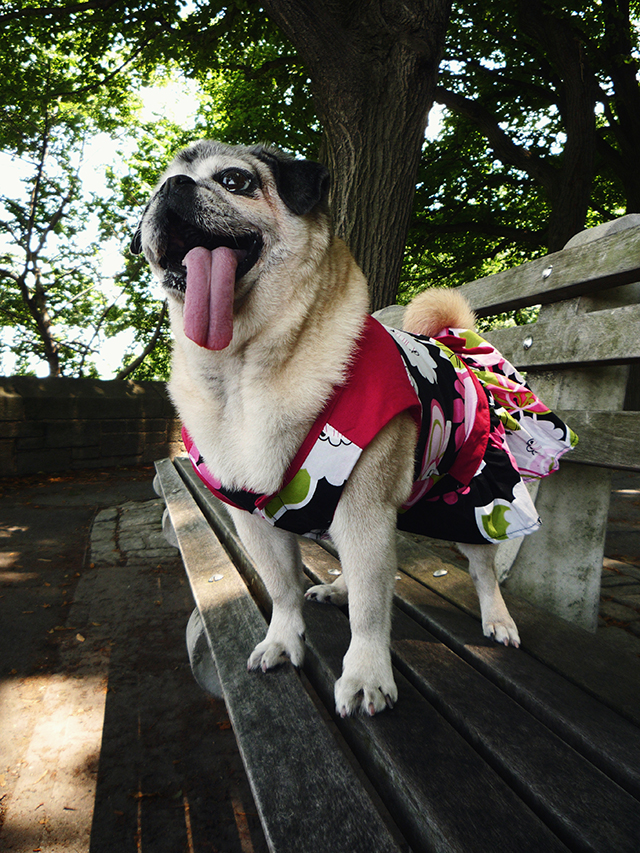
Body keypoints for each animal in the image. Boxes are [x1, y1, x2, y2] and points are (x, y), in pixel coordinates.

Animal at [131, 143, 576, 716]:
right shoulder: (255, 520)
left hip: (471, 492)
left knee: (479, 569)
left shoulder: (365, 511)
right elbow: (282, 590)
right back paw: (337, 588)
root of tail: (454, 347)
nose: (171, 189)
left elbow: (369, 611)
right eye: (153, 194)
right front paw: (283, 640)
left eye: (235, 181)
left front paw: (366, 674)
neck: (245, 373)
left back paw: (497, 619)